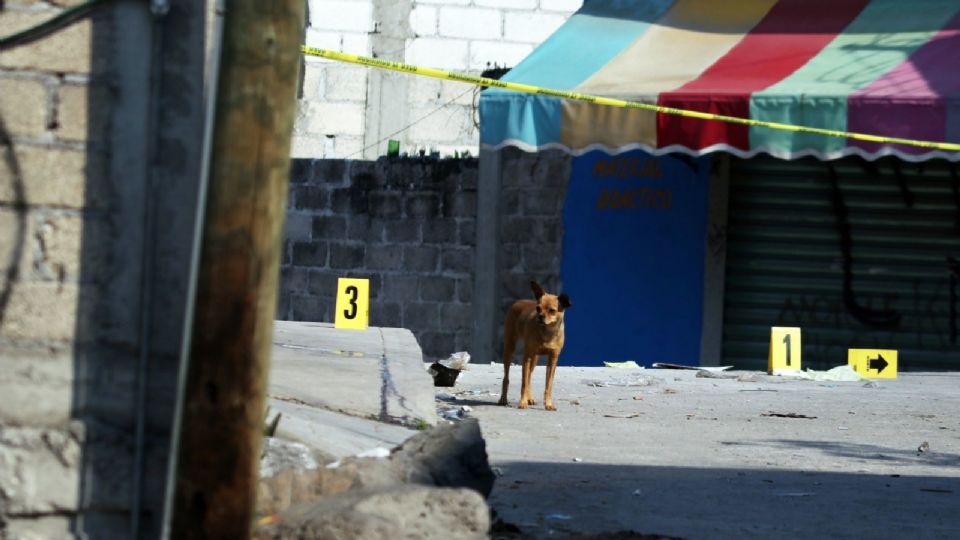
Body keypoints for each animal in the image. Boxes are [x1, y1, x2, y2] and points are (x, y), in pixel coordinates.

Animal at [498, 282, 568, 410]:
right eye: (538, 308)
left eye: (552, 310)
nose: (540, 316)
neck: (547, 332)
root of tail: (519, 301)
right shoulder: (527, 357)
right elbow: (524, 383)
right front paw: (522, 402)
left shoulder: (552, 360)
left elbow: (548, 385)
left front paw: (548, 404)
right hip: (510, 350)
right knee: (507, 378)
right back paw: (503, 399)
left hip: (535, 358)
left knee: (529, 377)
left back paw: (529, 397)